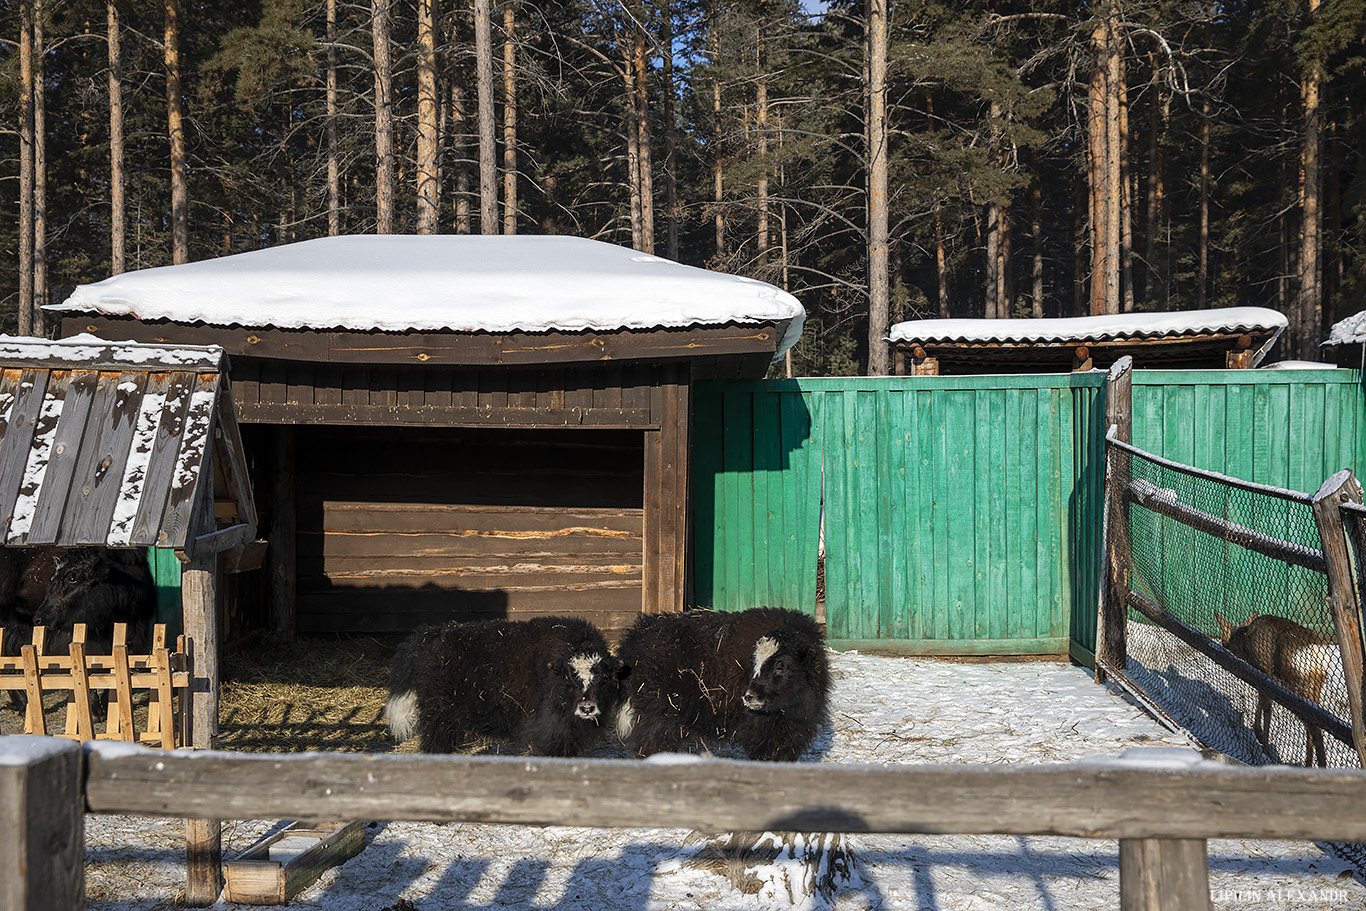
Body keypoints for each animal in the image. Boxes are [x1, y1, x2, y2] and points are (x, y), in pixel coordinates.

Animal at [1218, 611, 1333, 770]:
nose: (1223, 643)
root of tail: (1317, 655)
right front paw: (1259, 735)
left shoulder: (1264, 670)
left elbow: (1266, 706)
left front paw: (1263, 743)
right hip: (1313, 687)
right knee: (1313, 725)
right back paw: (1308, 765)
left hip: (1296, 685)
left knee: (1314, 728)